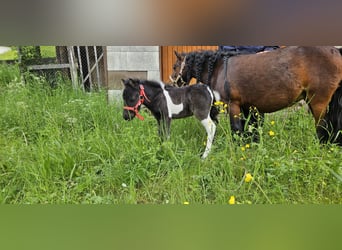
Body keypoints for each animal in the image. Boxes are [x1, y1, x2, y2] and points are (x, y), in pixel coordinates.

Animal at [170, 46, 342, 146]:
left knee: (322, 128)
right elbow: (249, 129)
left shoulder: (233, 105)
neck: (219, 67)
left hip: (318, 102)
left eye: (174, 66)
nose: (171, 82)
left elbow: (236, 130)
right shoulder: (246, 107)